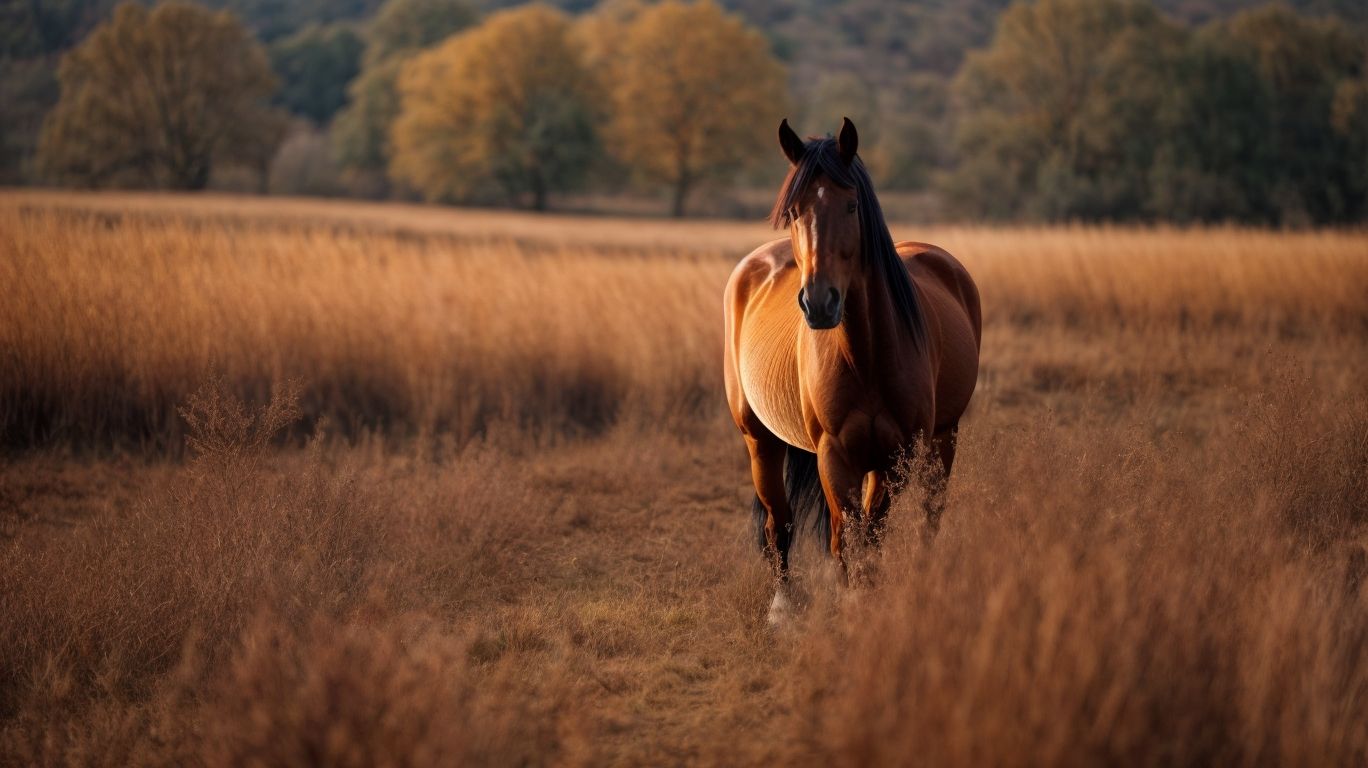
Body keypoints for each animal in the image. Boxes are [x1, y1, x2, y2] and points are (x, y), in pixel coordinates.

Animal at [723, 118, 981, 622]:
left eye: (851, 204)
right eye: (794, 211)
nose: (819, 303)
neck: (867, 354)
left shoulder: (896, 454)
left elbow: (873, 535)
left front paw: (867, 600)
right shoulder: (835, 454)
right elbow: (845, 538)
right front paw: (849, 604)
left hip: (943, 438)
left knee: (931, 513)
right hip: (760, 440)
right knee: (780, 522)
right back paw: (782, 607)